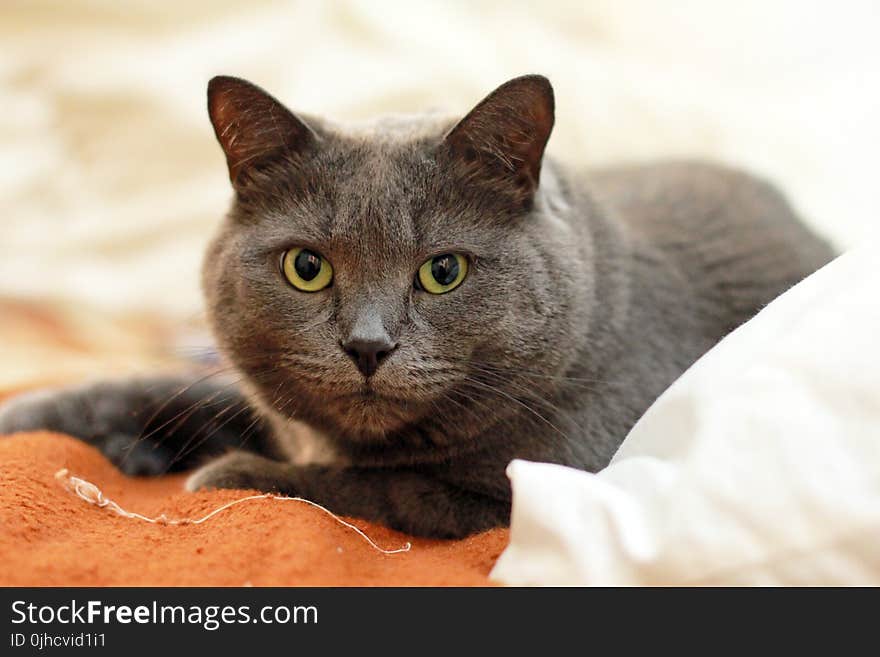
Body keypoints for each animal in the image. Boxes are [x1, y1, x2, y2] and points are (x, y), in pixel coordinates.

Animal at [0, 75, 832, 540]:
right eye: (307, 267)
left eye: (442, 271)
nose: (368, 346)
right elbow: (158, 388)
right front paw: (38, 418)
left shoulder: (540, 491)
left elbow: (381, 486)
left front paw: (225, 473)